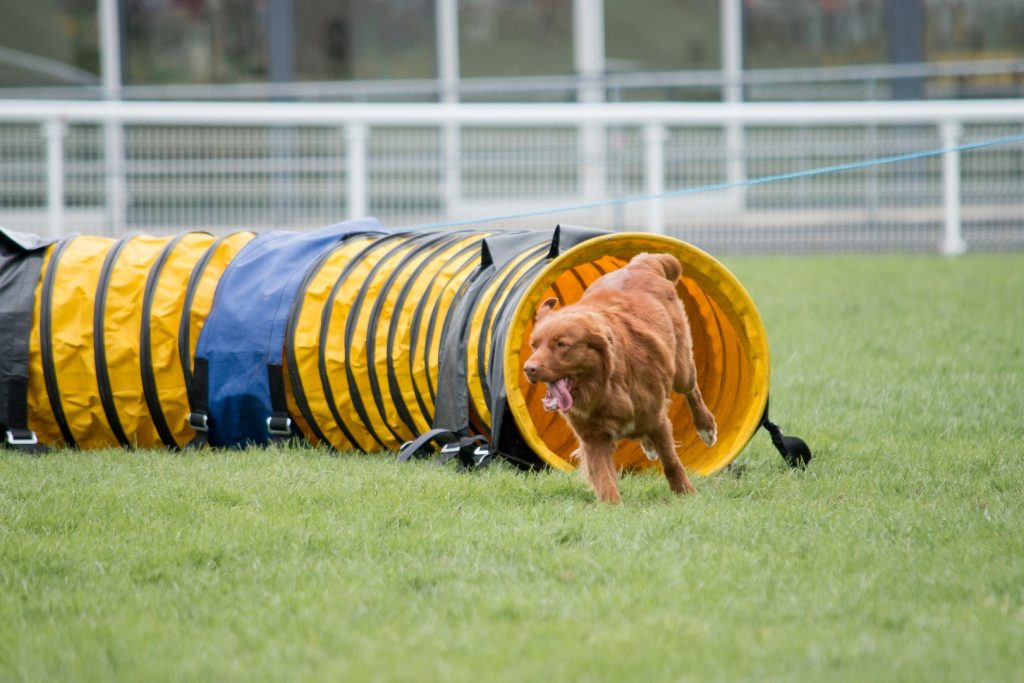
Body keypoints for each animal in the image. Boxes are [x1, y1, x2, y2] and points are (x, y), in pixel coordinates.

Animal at [524, 253, 716, 505]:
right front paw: (612, 506)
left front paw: (685, 492)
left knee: (691, 389)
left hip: (681, 368)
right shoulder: (594, 437)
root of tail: (642, 263)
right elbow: (604, 476)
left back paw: (706, 427)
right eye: (534, 345)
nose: (528, 369)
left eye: (562, 344)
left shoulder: (658, 420)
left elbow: (671, 461)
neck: (605, 386)